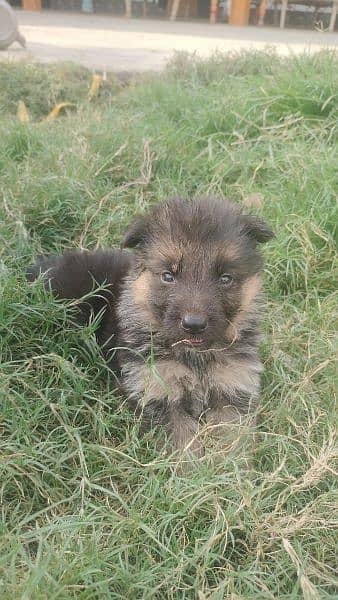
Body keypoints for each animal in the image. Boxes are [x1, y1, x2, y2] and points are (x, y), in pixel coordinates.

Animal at [27, 199, 274, 462]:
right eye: (168, 276)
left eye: (225, 278)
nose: (194, 325)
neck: (195, 359)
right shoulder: (157, 393)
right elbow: (182, 442)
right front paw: (194, 468)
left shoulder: (233, 390)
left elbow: (231, 439)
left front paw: (227, 468)